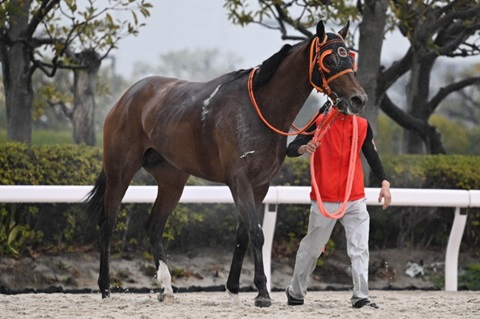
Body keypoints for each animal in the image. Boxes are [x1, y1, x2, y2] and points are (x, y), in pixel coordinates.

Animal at [86, 19, 366, 308]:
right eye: (329, 60)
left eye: (349, 57)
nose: (358, 99)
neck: (259, 109)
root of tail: (126, 98)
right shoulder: (239, 181)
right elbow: (256, 233)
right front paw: (262, 292)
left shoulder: (260, 185)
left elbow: (243, 233)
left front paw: (233, 288)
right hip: (120, 171)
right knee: (107, 223)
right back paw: (105, 287)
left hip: (172, 180)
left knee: (153, 226)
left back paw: (166, 287)